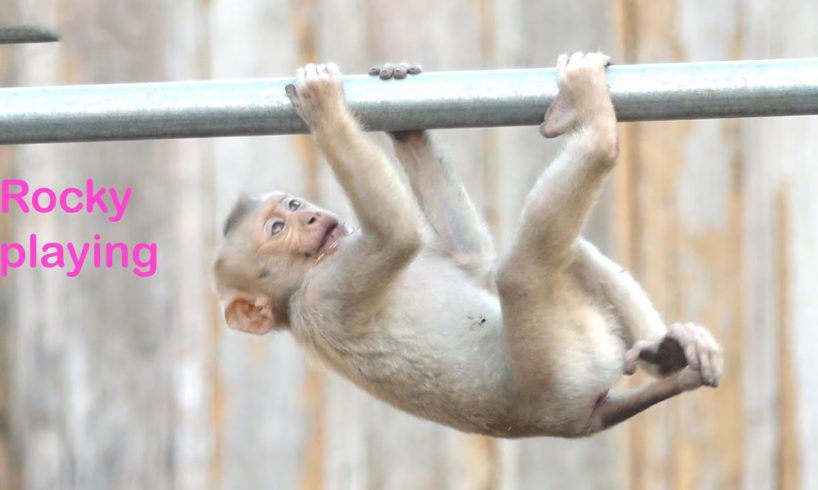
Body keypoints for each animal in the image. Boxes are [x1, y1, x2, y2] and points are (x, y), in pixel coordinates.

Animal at [212, 53, 720, 436]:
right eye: (278, 228)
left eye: (294, 205)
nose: (313, 217)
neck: (313, 271)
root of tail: (577, 421)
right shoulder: (323, 297)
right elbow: (398, 234)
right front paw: (322, 107)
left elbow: (467, 253)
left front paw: (402, 117)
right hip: (559, 367)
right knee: (520, 271)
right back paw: (589, 118)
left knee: (566, 256)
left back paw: (668, 352)